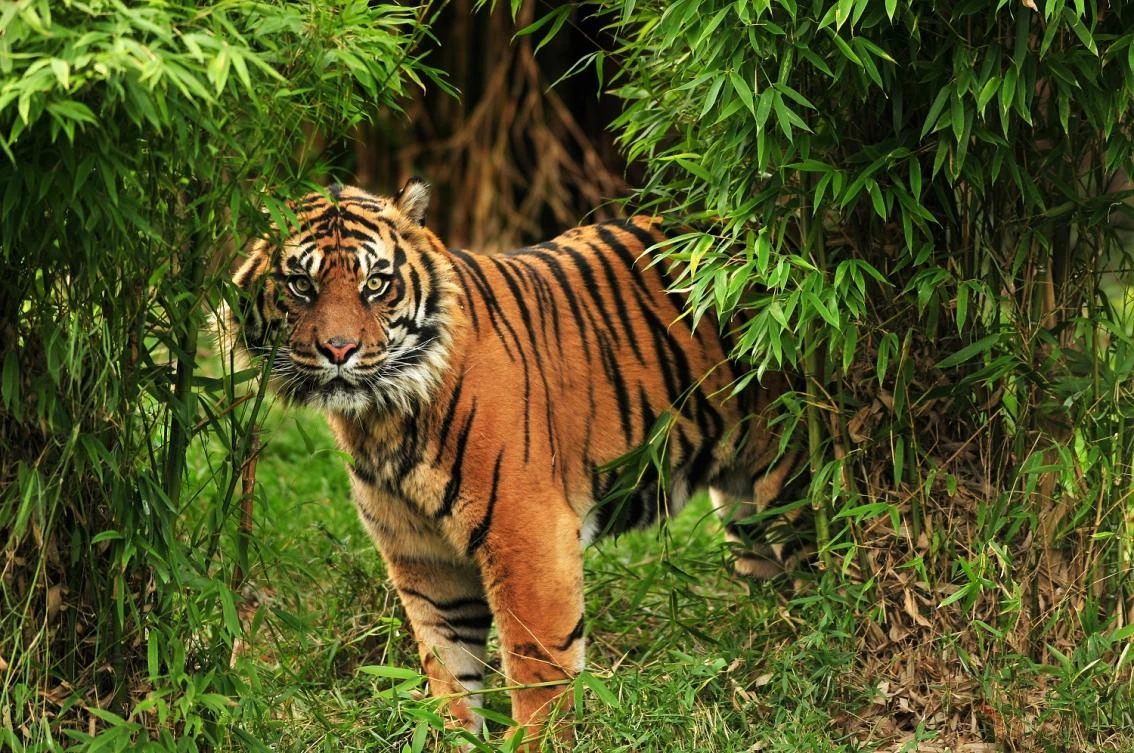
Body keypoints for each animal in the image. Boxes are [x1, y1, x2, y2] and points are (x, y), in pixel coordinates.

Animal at [218, 179, 812, 744]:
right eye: (301, 285)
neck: (381, 417)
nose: (339, 350)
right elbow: (449, 671)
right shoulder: (422, 556)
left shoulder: (527, 534)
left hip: (793, 474)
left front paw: (537, 740)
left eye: (376, 285)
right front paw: (452, 739)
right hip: (744, 507)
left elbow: (538, 666)